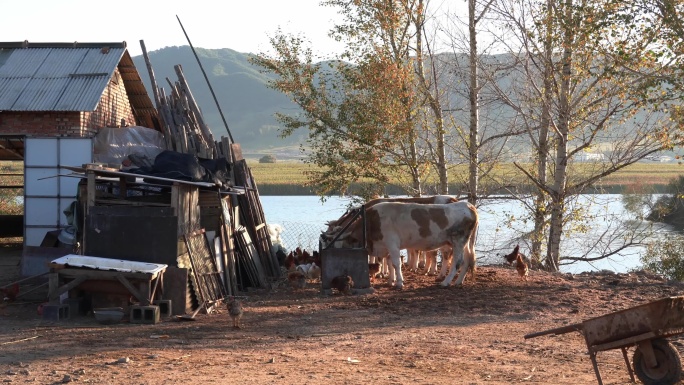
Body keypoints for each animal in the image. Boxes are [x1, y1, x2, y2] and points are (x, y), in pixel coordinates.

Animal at [324, 201, 478, 288]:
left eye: (341, 246)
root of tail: (467, 205)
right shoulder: (386, 247)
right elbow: (389, 263)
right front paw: (390, 281)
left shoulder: (392, 243)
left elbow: (396, 263)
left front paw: (399, 282)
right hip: (465, 243)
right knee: (467, 261)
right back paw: (458, 282)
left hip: (458, 241)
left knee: (457, 262)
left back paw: (446, 282)